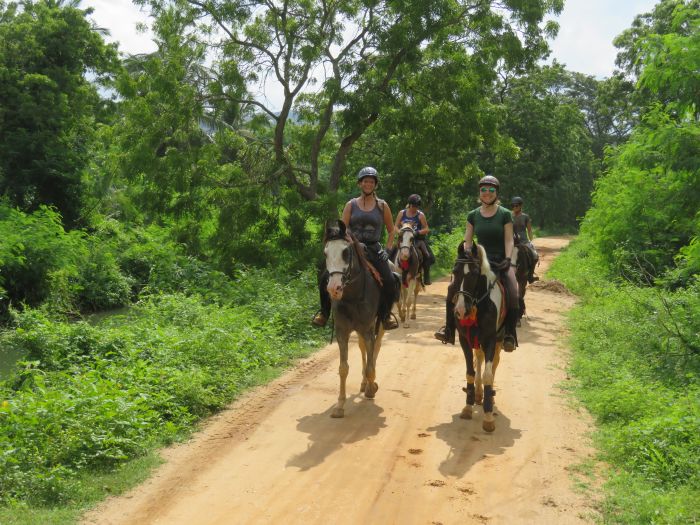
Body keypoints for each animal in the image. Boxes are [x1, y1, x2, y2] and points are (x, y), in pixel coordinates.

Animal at [324, 219, 386, 416]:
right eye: (325, 253)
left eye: (346, 252)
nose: (333, 288)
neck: (352, 295)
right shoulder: (342, 332)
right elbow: (343, 368)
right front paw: (340, 406)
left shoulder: (368, 329)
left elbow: (371, 365)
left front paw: (371, 389)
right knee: (362, 348)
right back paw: (364, 383)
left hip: (379, 324)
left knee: (376, 347)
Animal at [452, 242, 506, 430]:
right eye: (455, 272)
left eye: (474, 274)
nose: (461, 310)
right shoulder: (464, 339)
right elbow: (470, 371)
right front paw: (467, 407)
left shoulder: (490, 339)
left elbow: (488, 374)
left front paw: (488, 417)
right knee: (479, 358)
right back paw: (477, 394)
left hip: (498, 340)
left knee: (494, 362)